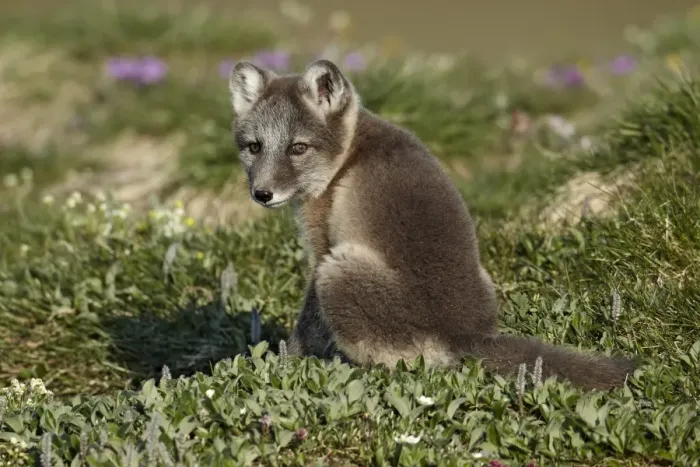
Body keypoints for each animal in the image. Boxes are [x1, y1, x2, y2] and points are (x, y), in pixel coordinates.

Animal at [227, 58, 638, 390]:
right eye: (254, 147)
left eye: (298, 148)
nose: (262, 194)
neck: (347, 157)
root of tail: (465, 337)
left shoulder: (321, 250)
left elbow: (305, 325)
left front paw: (282, 365)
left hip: (339, 270)